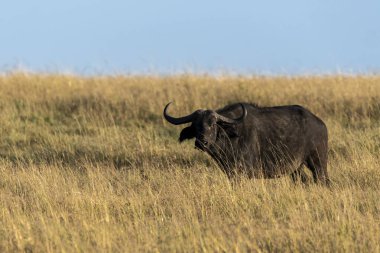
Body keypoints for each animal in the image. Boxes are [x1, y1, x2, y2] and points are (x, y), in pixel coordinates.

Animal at [163, 102, 330, 185]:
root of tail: (320, 124)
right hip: (296, 168)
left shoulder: (243, 172)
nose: (202, 142)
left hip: (318, 162)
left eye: (213, 124)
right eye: (195, 125)